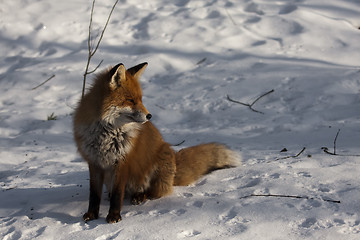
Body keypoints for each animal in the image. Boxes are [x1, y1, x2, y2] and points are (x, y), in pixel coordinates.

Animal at [73, 62, 240, 223]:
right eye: (130, 100)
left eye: (141, 99)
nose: (149, 116)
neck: (107, 133)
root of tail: (173, 170)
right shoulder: (94, 162)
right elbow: (94, 194)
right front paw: (92, 214)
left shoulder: (122, 161)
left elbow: (117, 194)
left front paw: (114, 216)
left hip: (157, 166)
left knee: (153, 192)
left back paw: (140, 196)